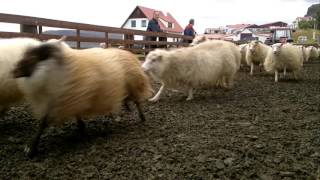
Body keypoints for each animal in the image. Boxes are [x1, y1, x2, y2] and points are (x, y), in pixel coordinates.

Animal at [12, 38, 152, 157]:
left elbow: (43, 124)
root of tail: (127, 52)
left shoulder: (62, 103)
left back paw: (142, 117)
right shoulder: (69, 101)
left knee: (137, 102)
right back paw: (122, 111)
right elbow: (70, 120)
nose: (14, 71)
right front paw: (82, 131)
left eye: (33, 57)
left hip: (133, 85)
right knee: (126, 100)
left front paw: (31, 149)